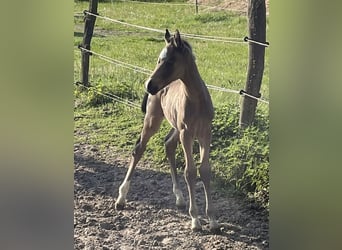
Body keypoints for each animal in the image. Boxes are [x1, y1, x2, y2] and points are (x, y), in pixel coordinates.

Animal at [115, 29, 219, 232]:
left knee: (168, 145)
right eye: (158, 59)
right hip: (153, 120)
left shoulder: (205, 133)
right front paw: (195, 220)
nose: (149, 85)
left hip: (176, 127)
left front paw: (212, 220)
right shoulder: (187, 134)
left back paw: (179, 197)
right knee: (139, 149)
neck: (196, 100)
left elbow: (205, 170)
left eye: (170, 61)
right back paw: (121, 198)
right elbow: (190, 172)